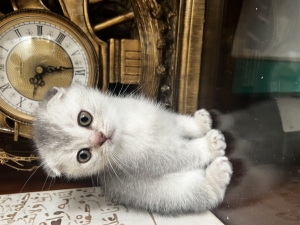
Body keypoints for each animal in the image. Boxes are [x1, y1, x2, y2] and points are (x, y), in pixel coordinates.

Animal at [34, 85, 233, 214]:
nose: (101, 138)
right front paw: (210, 144)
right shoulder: (156, 156)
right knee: (203, 193)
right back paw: (218, 173)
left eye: (84, 118)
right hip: (173, 193)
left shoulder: (162, 116)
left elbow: (179, 122)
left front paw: (200, 123)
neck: (125, 128)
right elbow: (184, 153)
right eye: (83, 155)